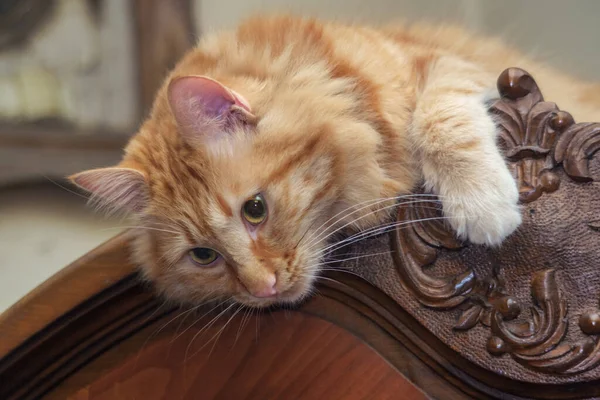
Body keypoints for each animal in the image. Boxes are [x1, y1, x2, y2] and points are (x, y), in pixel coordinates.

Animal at [69, 15, 600, 308]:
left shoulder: (450, 66)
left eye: (255, 209)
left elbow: (439, 121)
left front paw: (481, 202)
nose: (264, 289)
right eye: (203, 256)